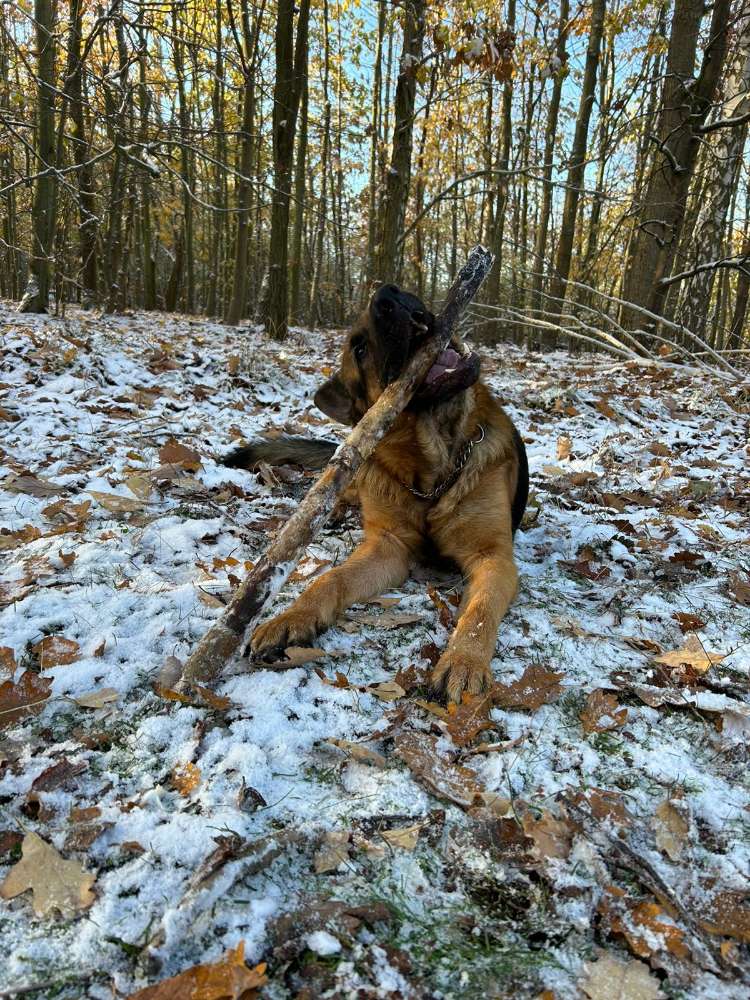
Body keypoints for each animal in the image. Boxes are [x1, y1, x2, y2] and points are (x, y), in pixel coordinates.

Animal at [223, 284, 528, 704]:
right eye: (360, 348)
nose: (388, 294)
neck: (433, 469)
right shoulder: (389, 548)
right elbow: (330, 578)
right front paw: (294, 616)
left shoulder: (493, 558)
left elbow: (480, 611)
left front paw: (464, 661)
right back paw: (333, 510)